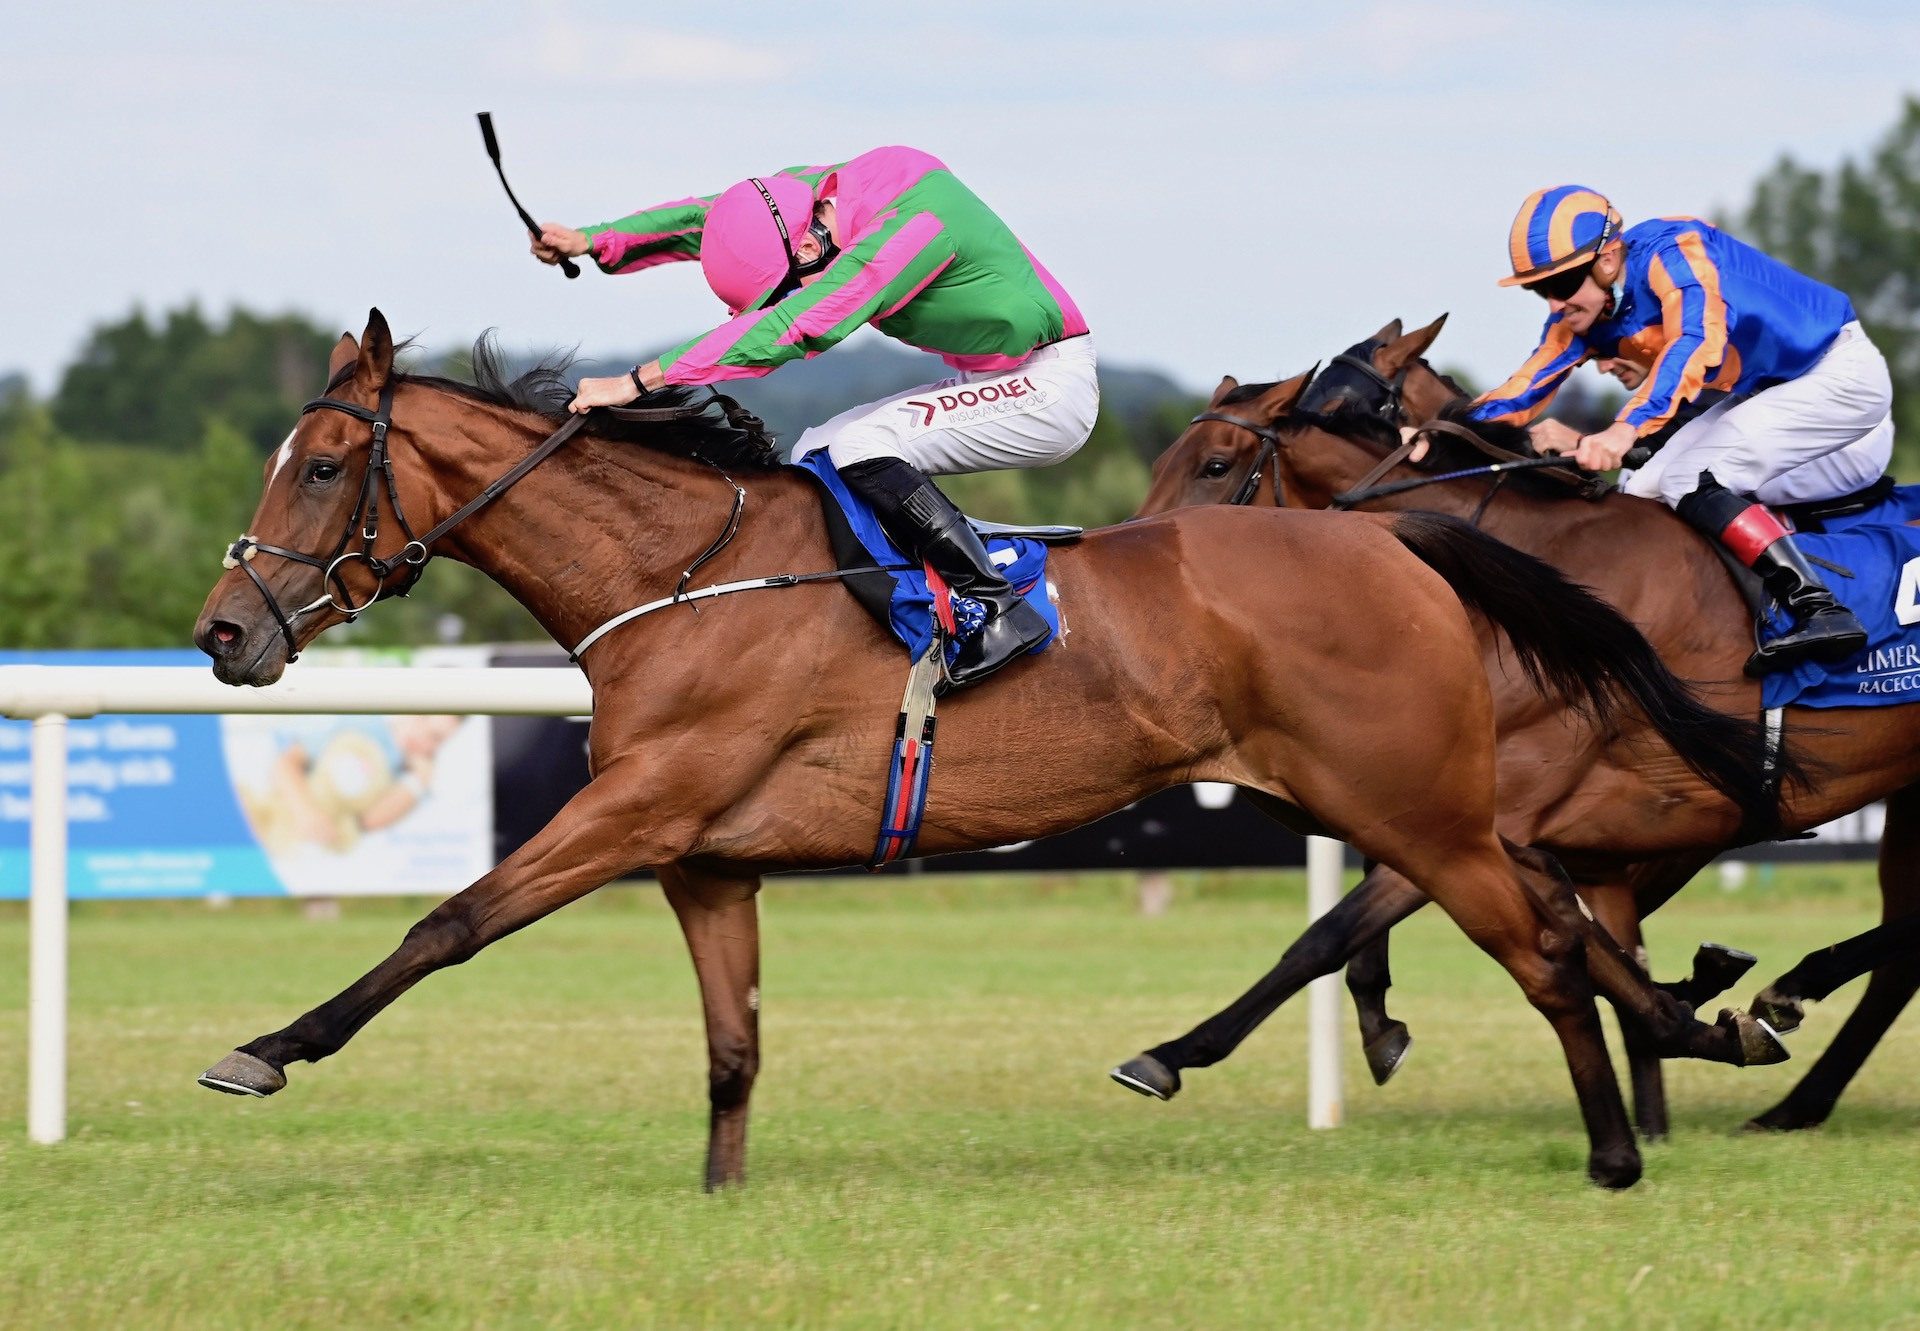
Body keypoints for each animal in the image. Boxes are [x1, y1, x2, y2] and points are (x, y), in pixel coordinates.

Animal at [194, 311, 1781, 1183]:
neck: (684, 570)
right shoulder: (707, 858)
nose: (223, 631)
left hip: (1420, 803)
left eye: (321, 464)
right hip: (1432, 799)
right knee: (1571, 923)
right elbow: (732, 1045)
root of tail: (1396, 536)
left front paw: (267, 1048)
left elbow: (449, 920)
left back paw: (1617, 1142)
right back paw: (1708, 1020)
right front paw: (720, 1195)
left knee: (1543, 946)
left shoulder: (639, 807)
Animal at [1121, 316, 1920, 1137]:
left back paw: (1797, 993)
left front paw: (1175, 1053)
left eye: (1217, 465)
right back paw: (1793, 1095)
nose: (1139, 555)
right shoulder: (1527, 826)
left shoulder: (1509, 815)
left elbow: (1329, 933)